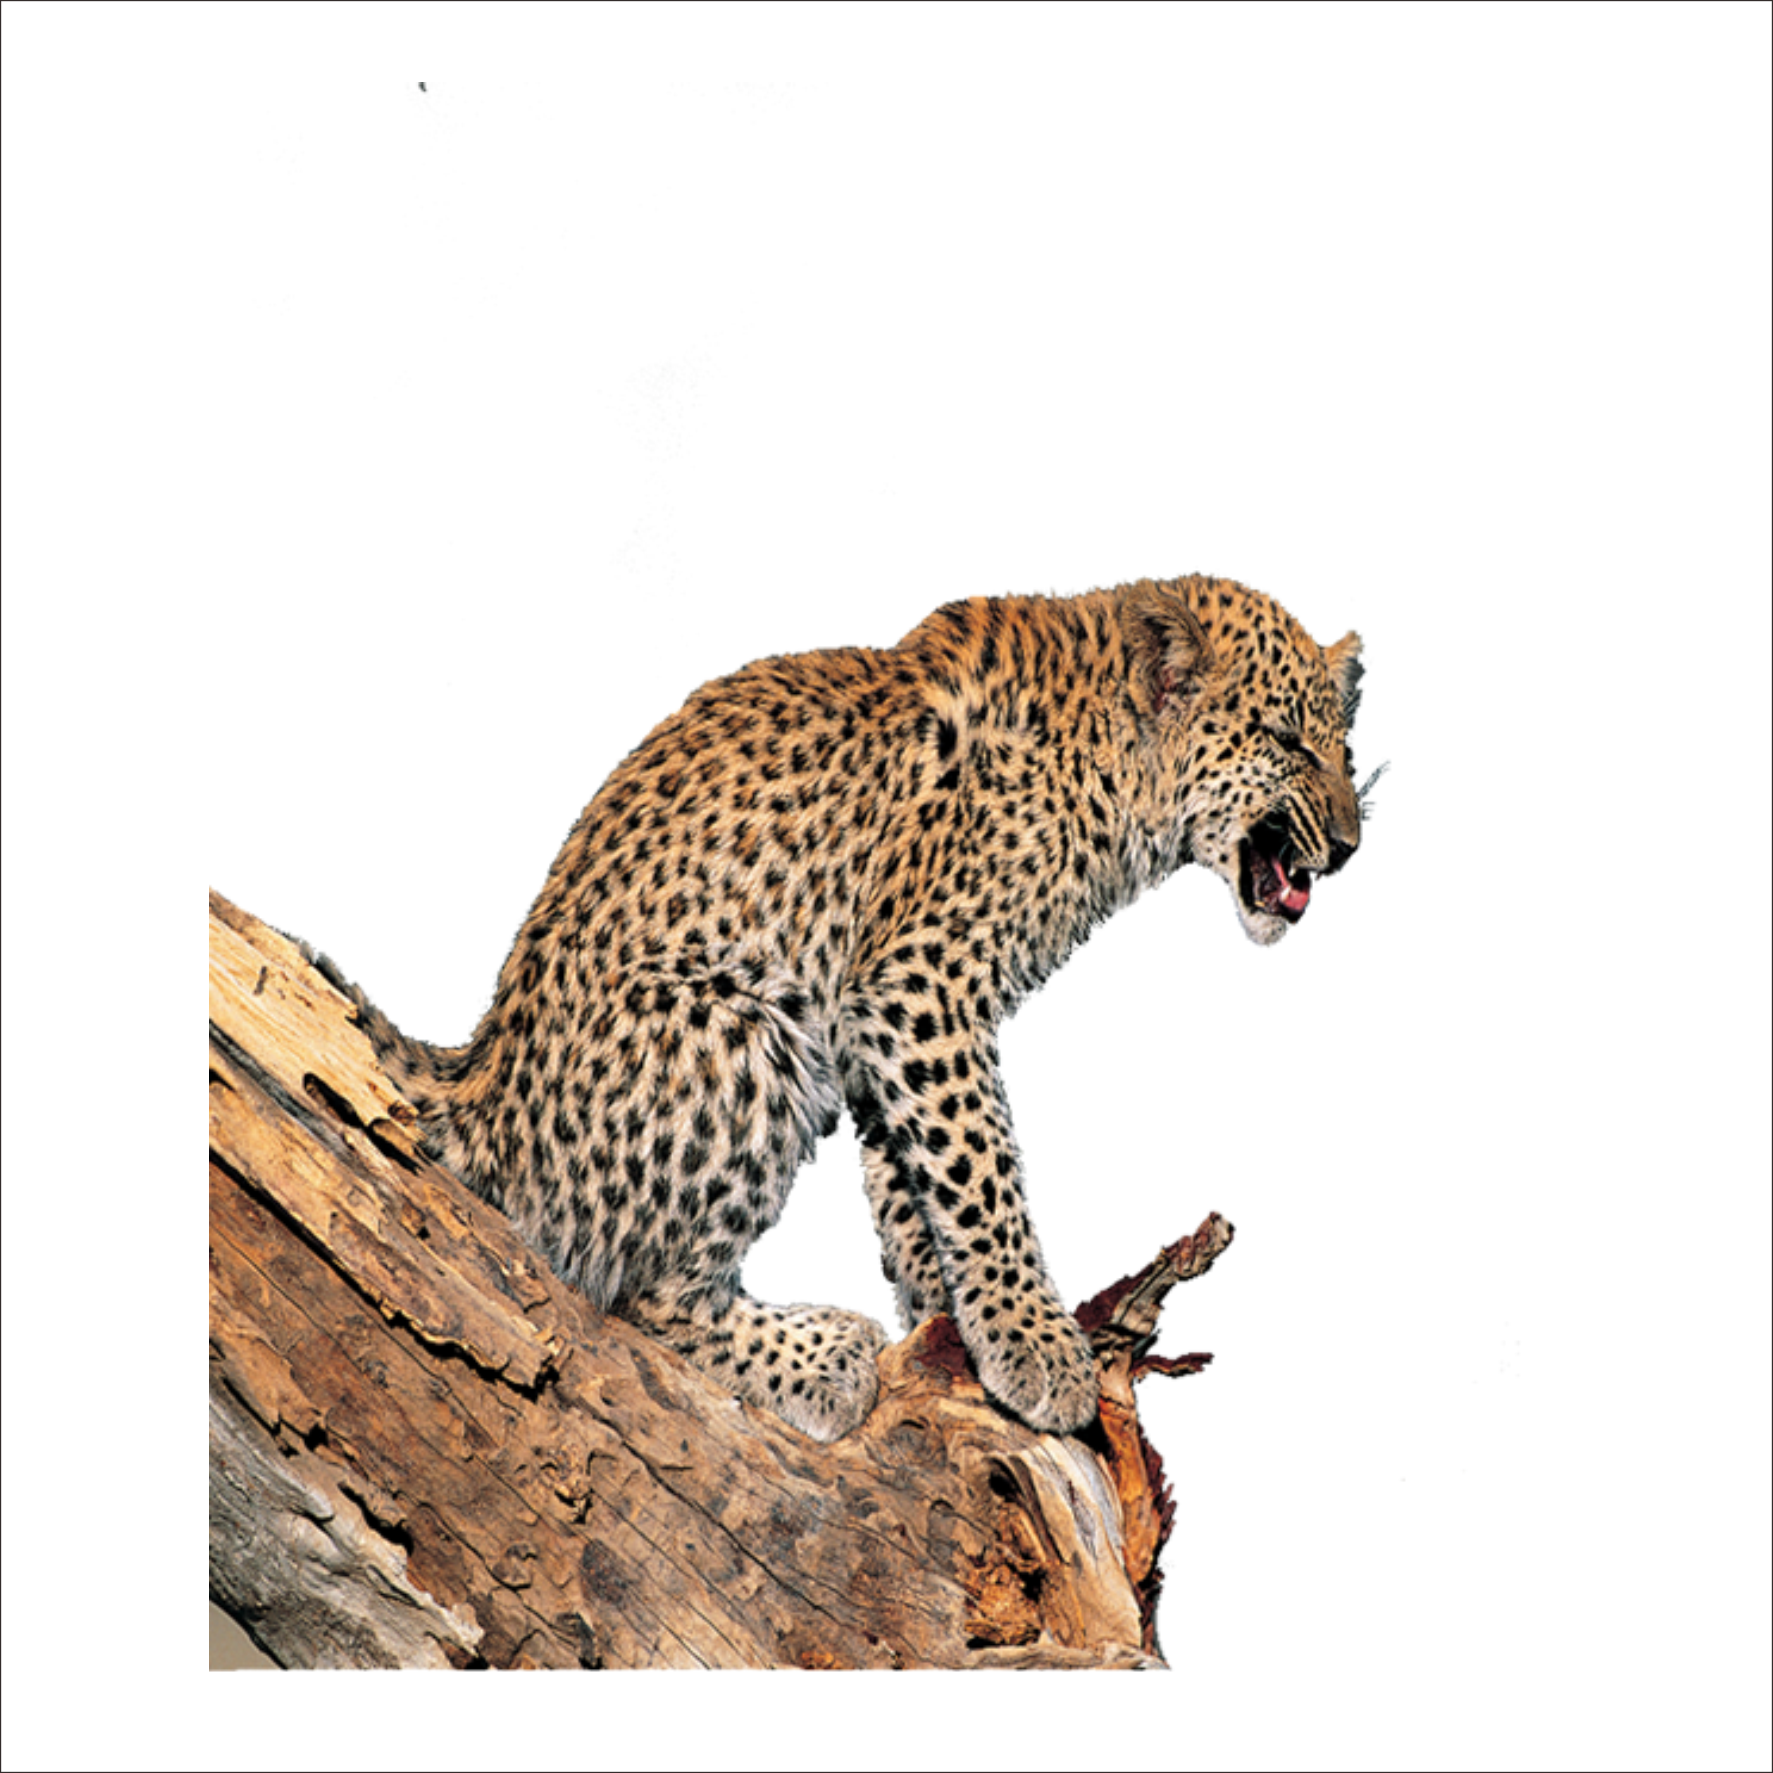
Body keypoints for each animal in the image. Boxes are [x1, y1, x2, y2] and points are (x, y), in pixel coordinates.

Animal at [299, 570, 1389, 1443]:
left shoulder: (881, 1027)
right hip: (741, 1035)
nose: (1346, 847)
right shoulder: (922, 980)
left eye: (1342, 750)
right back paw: (819, 1352)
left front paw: (947, 1321)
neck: (1119, 774)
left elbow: (916, 1181)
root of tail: (468, 1076)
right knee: (636, 1291)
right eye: (1285, 741)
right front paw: (1037, 1344)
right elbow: (984, 1168)